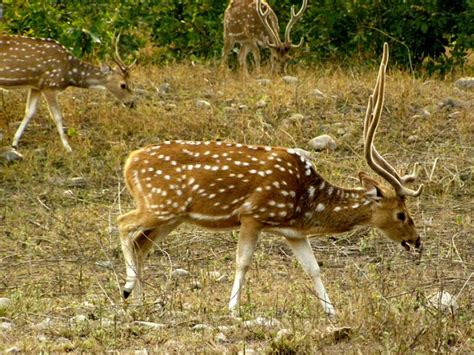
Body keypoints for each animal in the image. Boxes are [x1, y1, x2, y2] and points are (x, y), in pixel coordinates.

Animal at [117, 43, 422, 318]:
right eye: (401, 214)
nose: (417, 240)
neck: (305, 203)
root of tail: (129, 161)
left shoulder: (294, 232)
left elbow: (313, 267)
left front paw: (332, 311)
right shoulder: (253, 213)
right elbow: (242, 262)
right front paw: (233, 309)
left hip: (173, 215)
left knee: (141, 244)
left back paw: (140, 301)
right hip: (159, 204)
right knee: (123, 223)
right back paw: (128, 289)